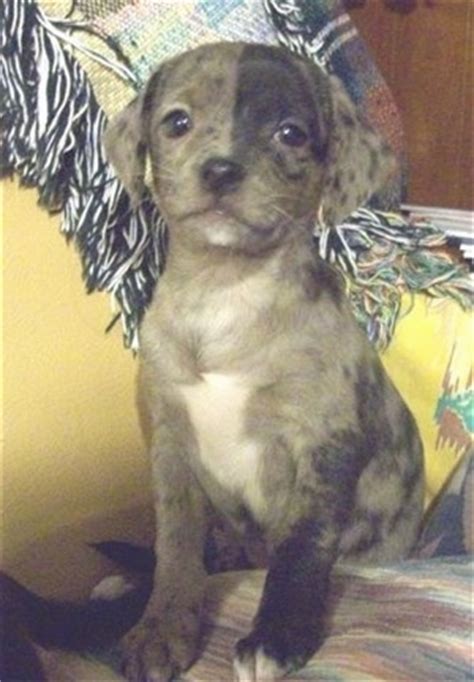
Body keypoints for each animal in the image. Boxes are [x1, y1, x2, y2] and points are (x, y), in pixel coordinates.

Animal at [104, 43, 426, 680]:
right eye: (177, 122)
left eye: (291, 134)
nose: (221, 171)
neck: (225, 291)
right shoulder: (171, 443)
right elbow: (175, 544)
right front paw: (162, 627)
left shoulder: (321, 445)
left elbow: (301, 550)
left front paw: (276, 637)